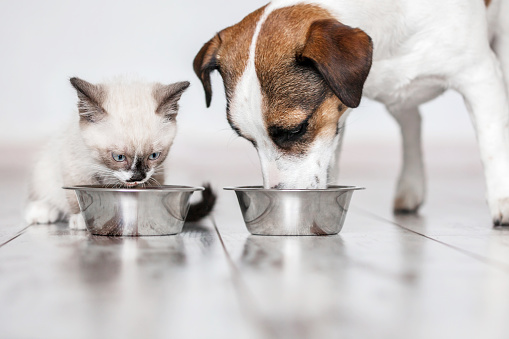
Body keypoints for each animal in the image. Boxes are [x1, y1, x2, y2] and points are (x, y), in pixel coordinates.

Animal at [24, 77, 214, 231]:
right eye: (119, 157)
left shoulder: (157, 173)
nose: (137, 177)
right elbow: (75, 194)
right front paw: (81, 219)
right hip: (46, 168)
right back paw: (41, 211)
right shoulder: (76, 165)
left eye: (154, 156)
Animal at [193, 0, 508, 227]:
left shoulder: (479, 76)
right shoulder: (337, 111)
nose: (276, 191)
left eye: (295, 130)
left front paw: (502, 199)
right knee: (411, 121)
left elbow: (493, 144)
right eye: (248, 140)